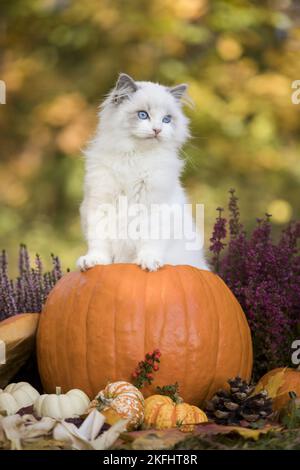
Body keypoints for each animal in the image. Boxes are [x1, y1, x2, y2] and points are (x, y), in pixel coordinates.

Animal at [77, 73, 209, 272]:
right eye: (143, 115)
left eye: (166, 119)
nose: (157, 130)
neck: (135, 157)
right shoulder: (100, 203)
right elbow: (98, 242)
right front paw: (94, 261)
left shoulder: (155, 207)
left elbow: (149, 242)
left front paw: (148, 262)